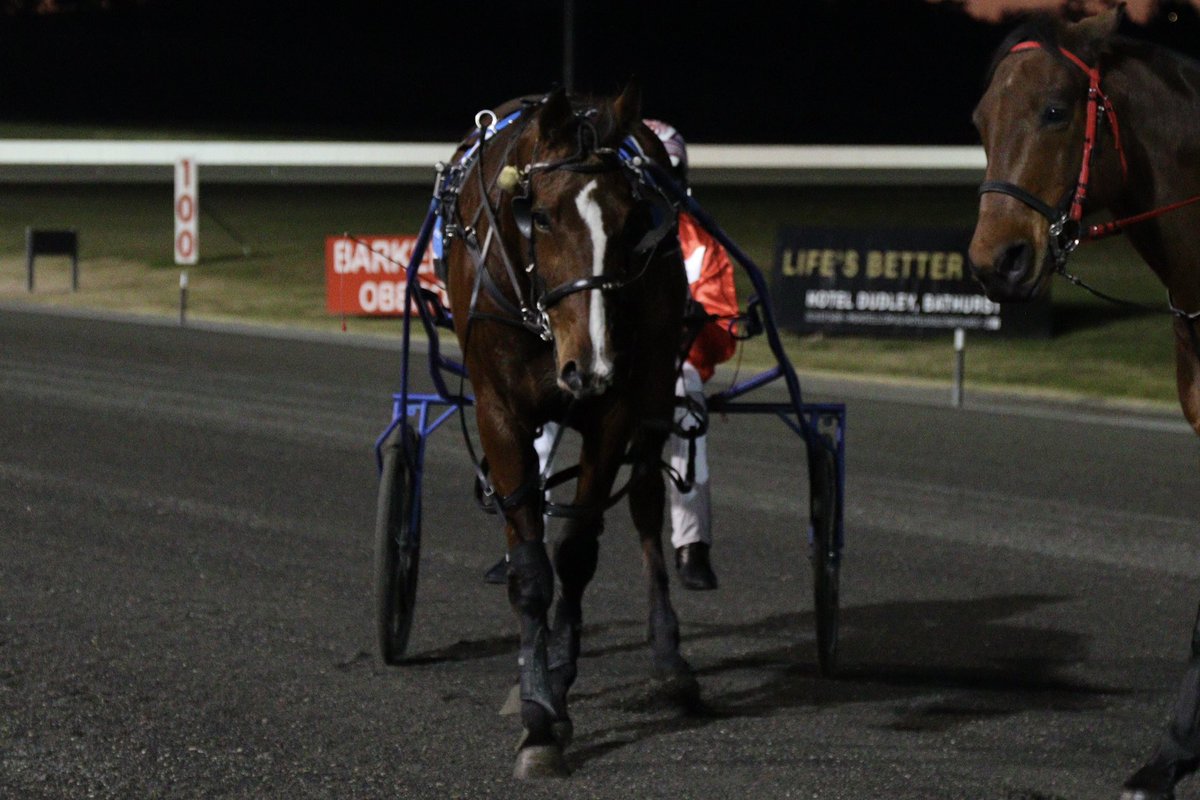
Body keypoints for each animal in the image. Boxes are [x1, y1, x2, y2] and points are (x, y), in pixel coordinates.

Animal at [441, 89, 691, 782]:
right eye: (543, 218)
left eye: (632, 222)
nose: (593, 366)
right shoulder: (499, 413)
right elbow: (530, 568)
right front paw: (536, 716)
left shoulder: (615, 408)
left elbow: (576, 554)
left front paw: (555, 688)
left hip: (656, 379)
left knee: (644, 500)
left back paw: (668, 660)